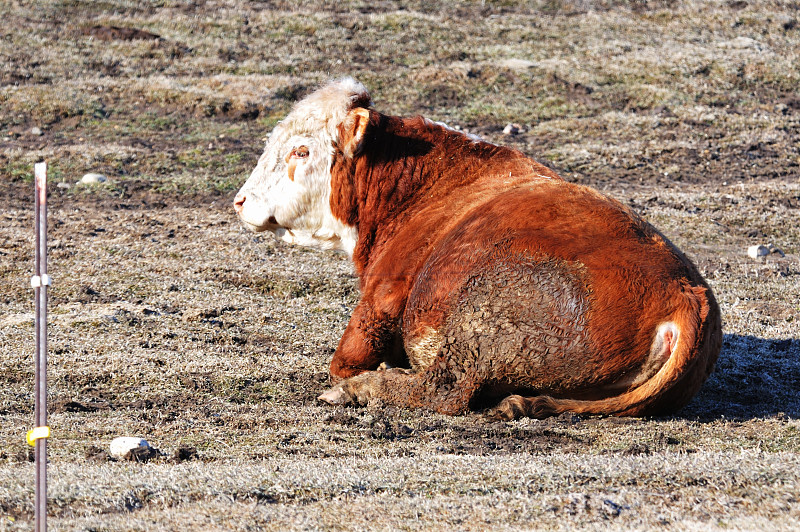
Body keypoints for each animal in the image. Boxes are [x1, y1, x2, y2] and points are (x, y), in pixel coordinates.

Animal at [234, 79, 720, 420]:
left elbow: (347, 357)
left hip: (480, 321)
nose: (240, 201)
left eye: (301, 150)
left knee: (446, 389)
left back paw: (360, 390)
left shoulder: (382, 295)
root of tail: (684, 293)